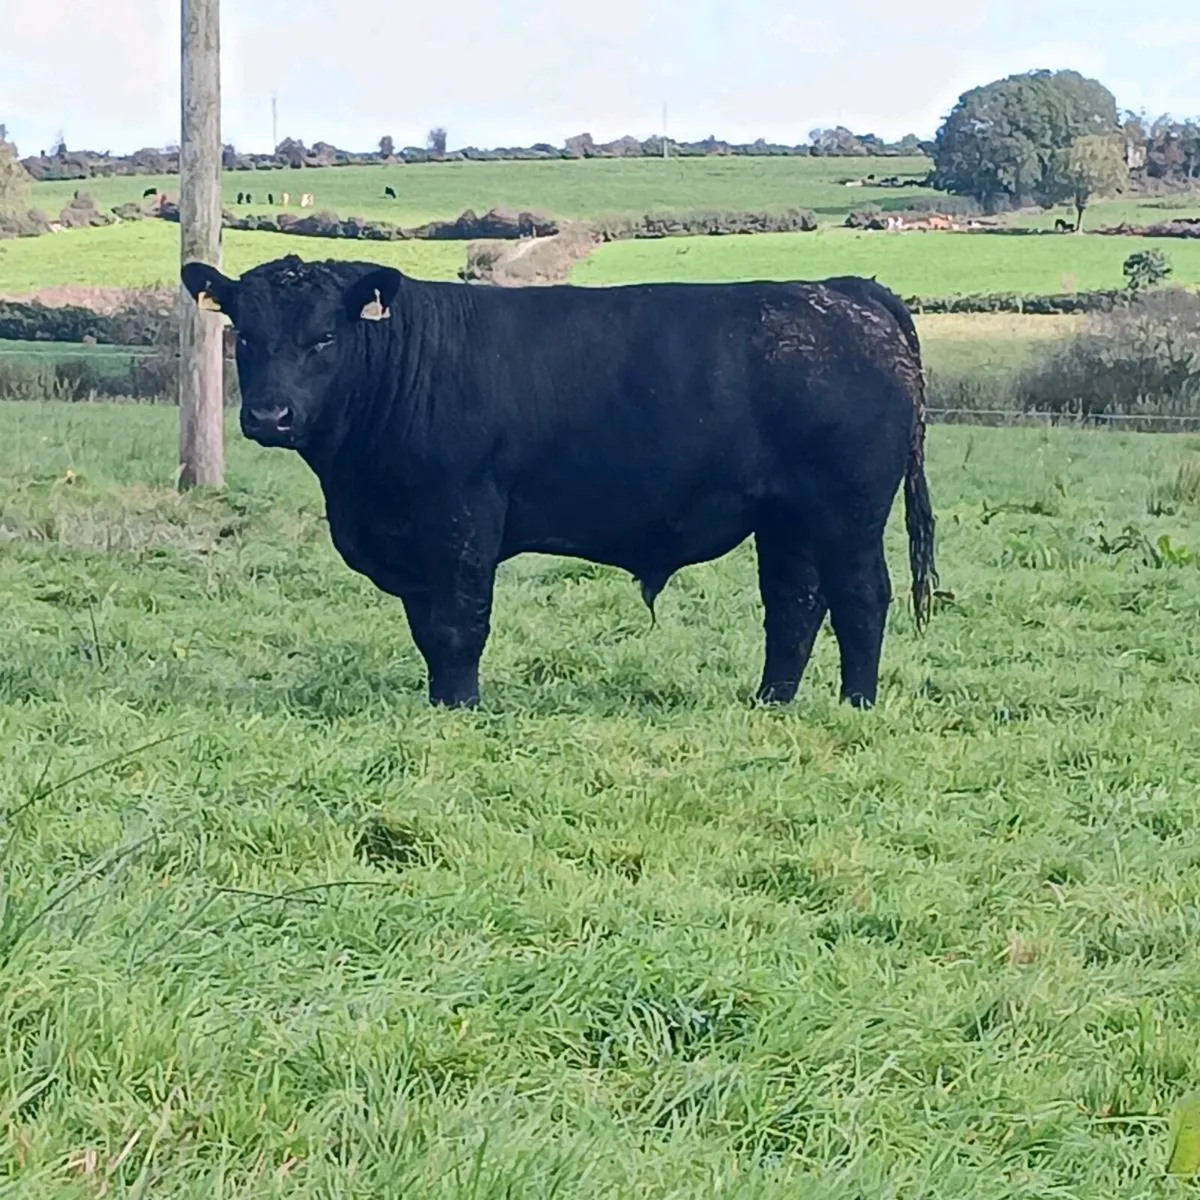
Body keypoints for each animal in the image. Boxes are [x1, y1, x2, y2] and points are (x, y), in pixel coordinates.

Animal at [180, 255, 937, 710]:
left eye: (325, 339)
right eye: (244, 334)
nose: (269, 415)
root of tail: (845, 291)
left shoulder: (461, 520)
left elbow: (457, 624)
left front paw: (460, 707)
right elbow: (427, 628)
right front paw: (437, 702)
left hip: (847, 510)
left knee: (861, 598)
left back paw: (856, 704)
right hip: (787, 518)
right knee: (794, 605)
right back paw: (770, 701)